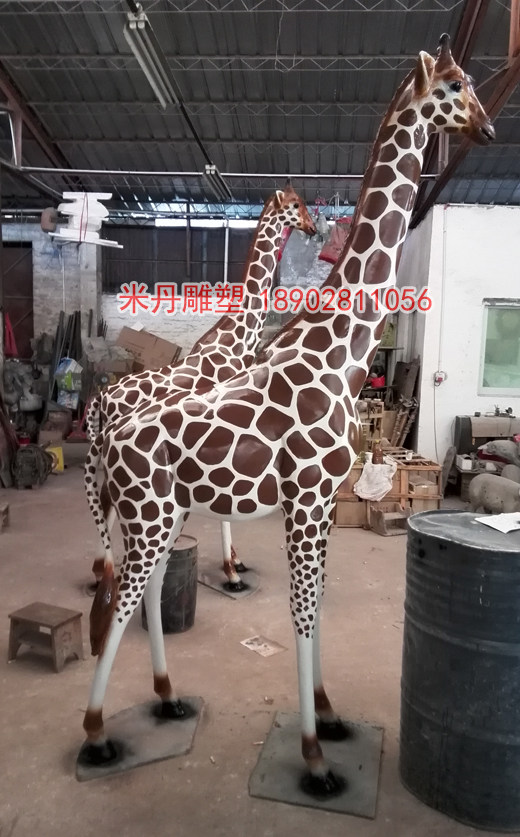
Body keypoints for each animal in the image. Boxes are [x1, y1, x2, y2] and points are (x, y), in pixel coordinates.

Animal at [85, 183, 316, 590]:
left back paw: (102, 572)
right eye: (295, 205)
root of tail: (103, 397)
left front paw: (235, 561)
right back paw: (103, 574)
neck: (237, 338)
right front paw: (231, 568)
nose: (313, 228)